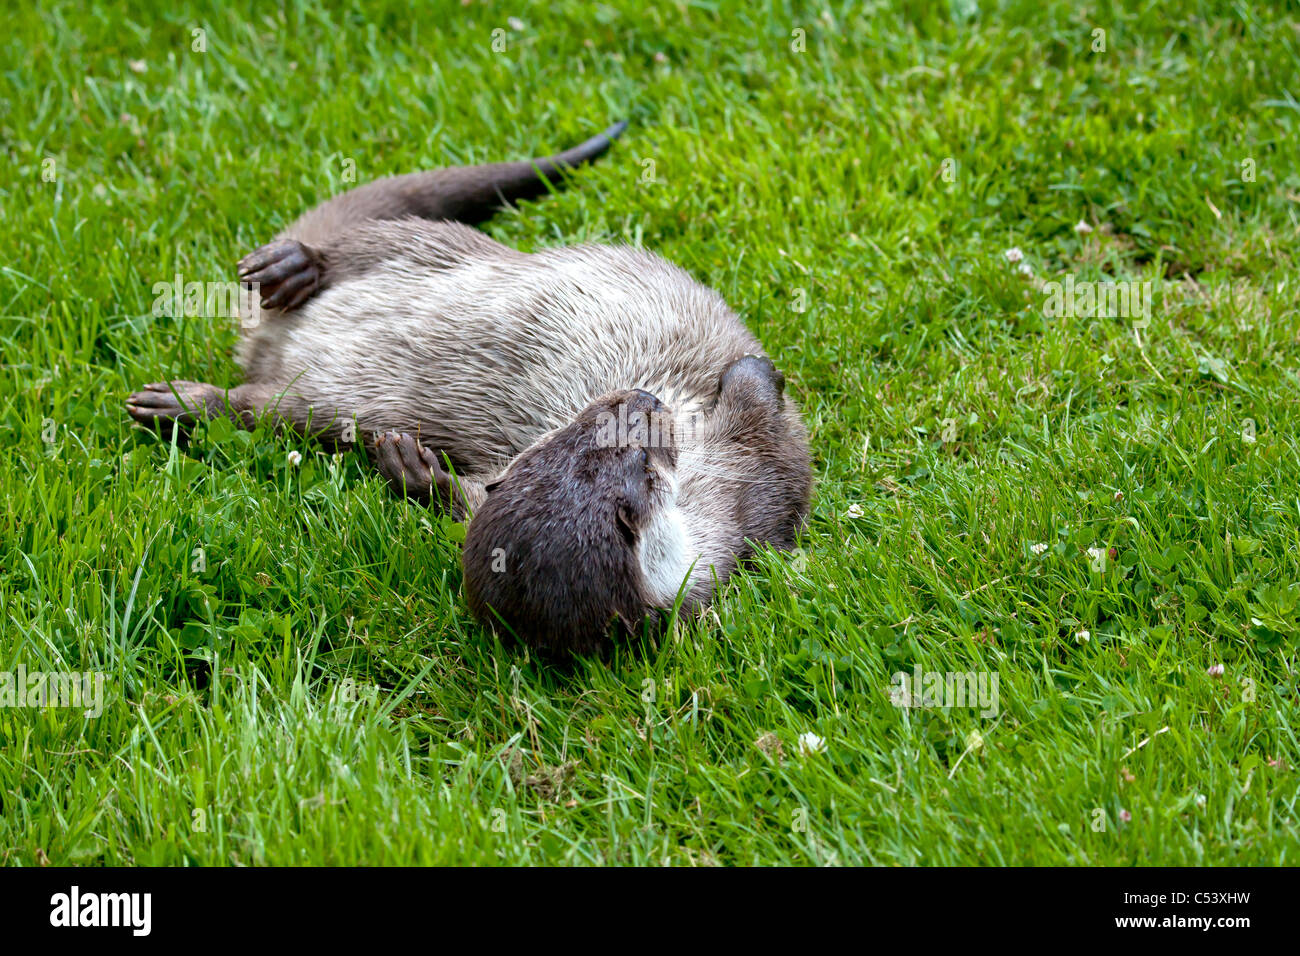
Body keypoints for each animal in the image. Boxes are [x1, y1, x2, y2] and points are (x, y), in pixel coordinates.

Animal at [126, 121, 806, 658]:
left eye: (635, 453)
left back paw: (184, 403)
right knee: (352, 248)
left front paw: (416, 472)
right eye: (574, 432)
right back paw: (288, 268)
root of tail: (272, 341)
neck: (704, 493)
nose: (640, 399)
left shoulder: (743, 497)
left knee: (253, 408)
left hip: (311, 402)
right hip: (442, 250)